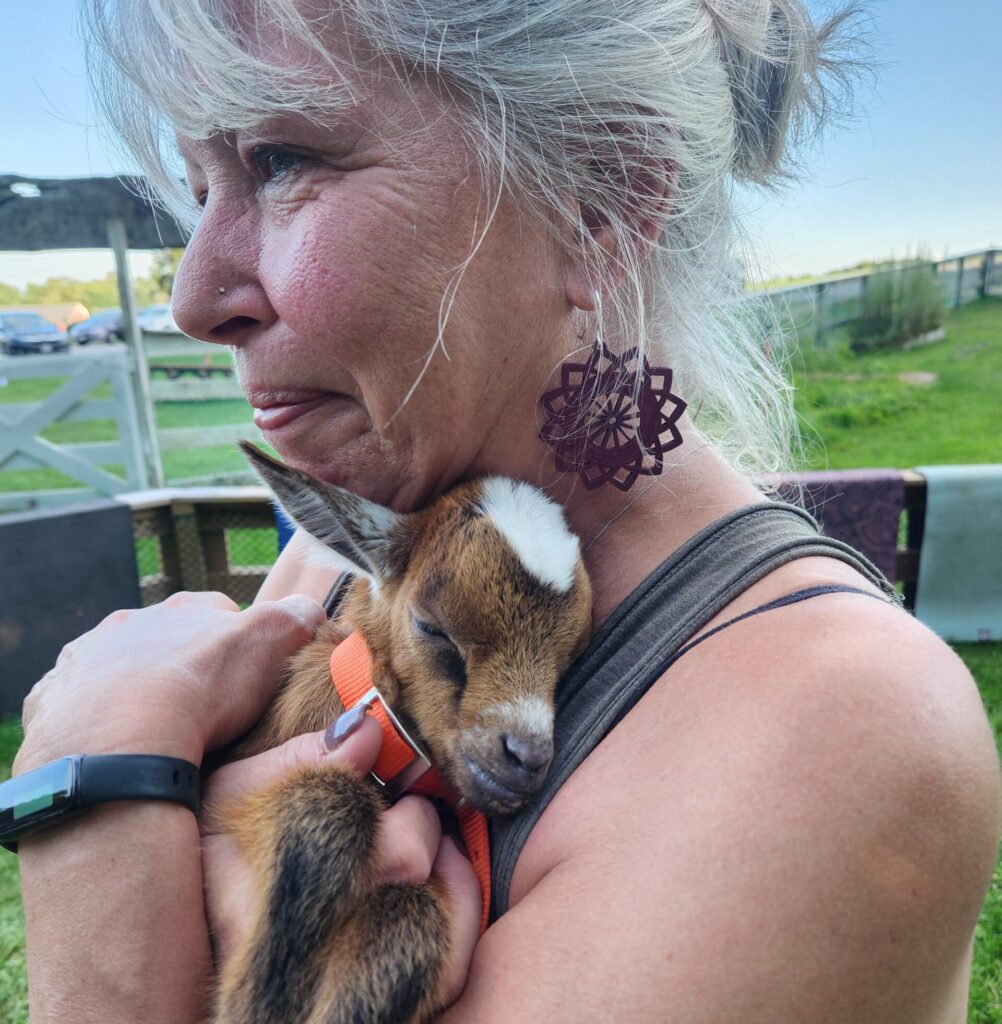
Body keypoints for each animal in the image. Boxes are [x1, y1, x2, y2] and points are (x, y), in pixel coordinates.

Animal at [212, 442, 592, 1024]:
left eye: (571, 660)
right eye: (432, 628)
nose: (526, 757)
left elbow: (409, 912)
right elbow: (327, 797)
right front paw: (261, 993)